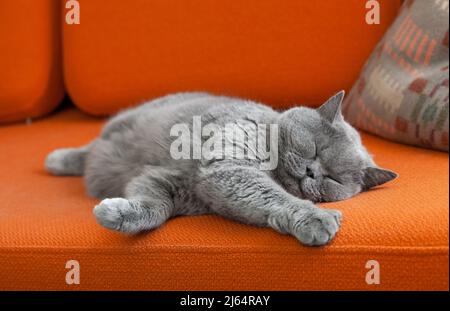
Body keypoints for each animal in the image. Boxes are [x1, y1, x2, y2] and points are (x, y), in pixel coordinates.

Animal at [45, 91, 398, 247]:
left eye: (333, 178)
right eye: (313, 148)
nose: (312, 172)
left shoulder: (171, 186)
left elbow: (154, 209)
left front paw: (117, 214)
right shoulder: (228, 165)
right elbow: (276, 195)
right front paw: (317, 219)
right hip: (123, 121)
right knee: (88, 148)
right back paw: (56, 160)